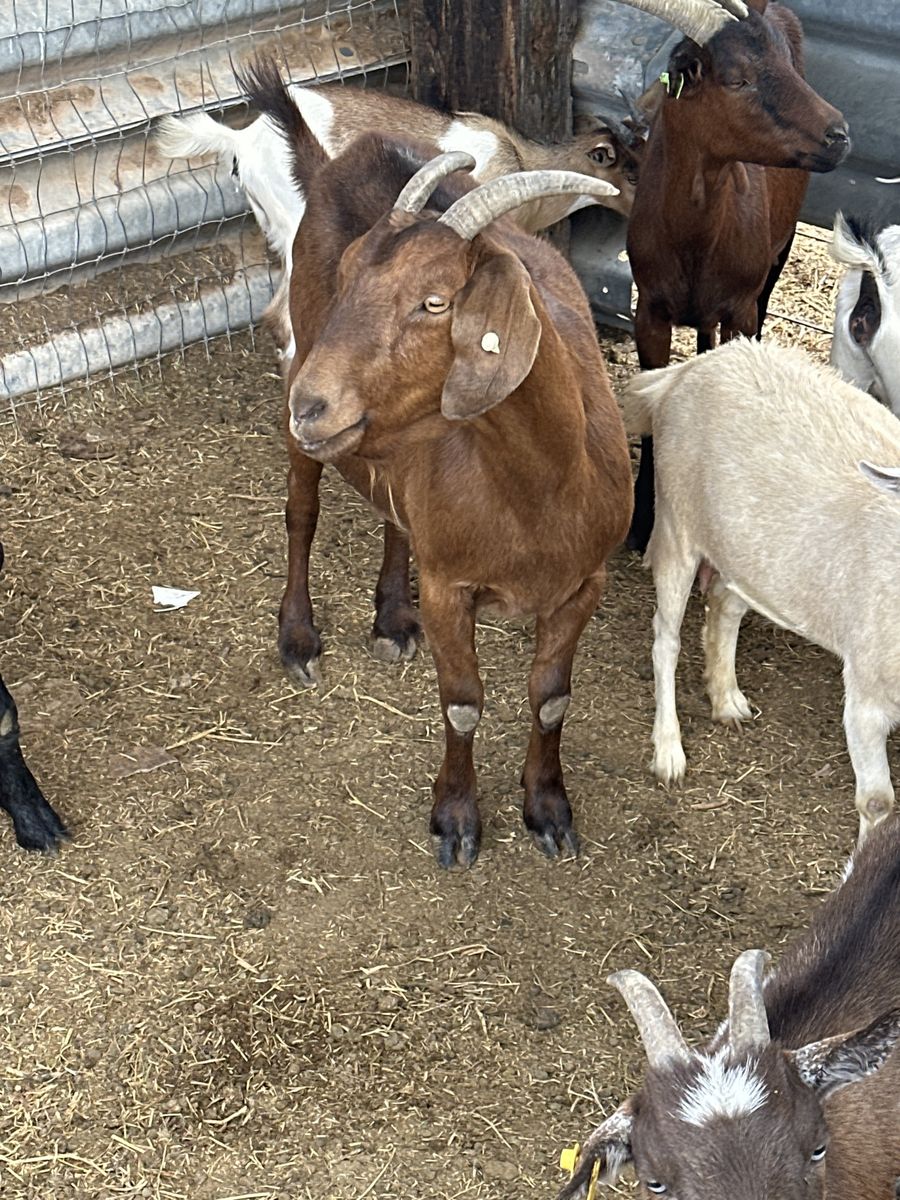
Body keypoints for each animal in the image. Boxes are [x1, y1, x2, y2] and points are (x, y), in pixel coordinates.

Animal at [245, 61, 633, 868]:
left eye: (435, 302)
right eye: (349, 271)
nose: (312, 404)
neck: (538, 490)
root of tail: (333, 160)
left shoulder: (585, 583)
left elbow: (552, 698)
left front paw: (548, 807)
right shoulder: (452, 588)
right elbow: (462, 703)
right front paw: (455, 818)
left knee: (396, 511)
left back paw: (394, 614)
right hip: (303, 368)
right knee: (302, 512)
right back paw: (298, 636)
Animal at [610, 0, 849, 552]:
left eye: (787, 67)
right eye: (737, 80)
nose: (840, 135)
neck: (693, 240)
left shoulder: (740, 307)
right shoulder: (649, 309)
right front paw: (641, 521)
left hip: (776, 256)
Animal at [620, 338, 900, 843]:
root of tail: (685, 370)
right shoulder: (867, 690)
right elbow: (878, 803)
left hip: (749, 551)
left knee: (724, 605)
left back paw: (725, 697)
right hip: (676, 520)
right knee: (665, 638)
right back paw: (668, 749)